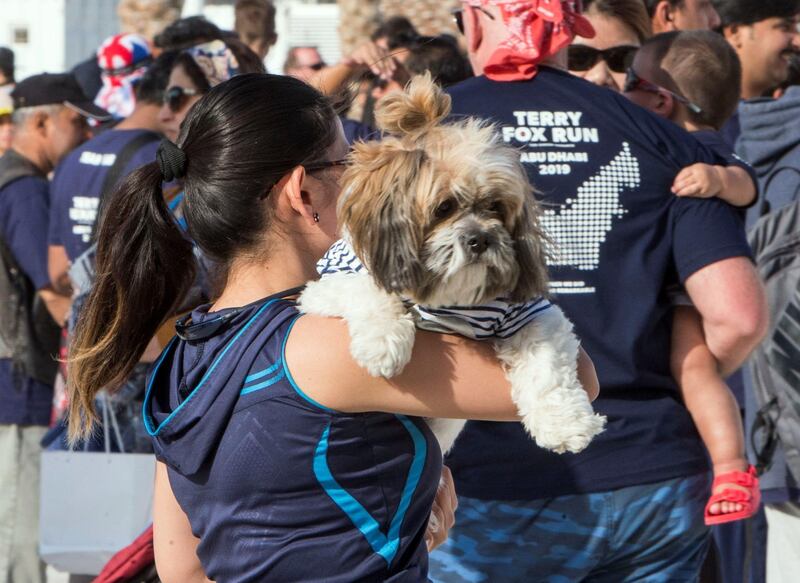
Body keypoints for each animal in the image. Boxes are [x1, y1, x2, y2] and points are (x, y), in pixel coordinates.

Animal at [300, 74, 608, 456]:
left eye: (495, 207)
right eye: (443, 208)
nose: (480, 239)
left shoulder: (533, 314)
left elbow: (547, 366)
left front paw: (567, 425)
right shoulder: (324, 286)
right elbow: (368, 288)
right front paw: (383, 343)